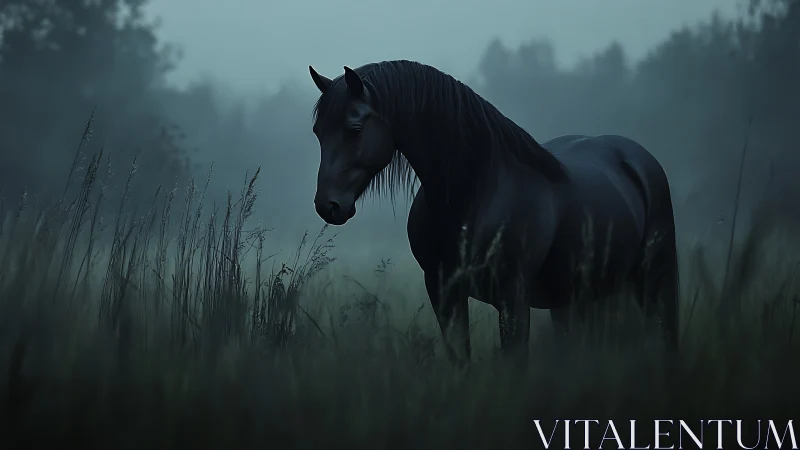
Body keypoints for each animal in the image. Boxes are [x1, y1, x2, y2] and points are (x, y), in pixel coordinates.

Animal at [307, 60, 679, 366]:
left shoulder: (513, 298)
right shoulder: (444, 293)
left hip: (656, 281)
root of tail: (637, 158)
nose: (328, 205)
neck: (474, 193)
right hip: (577, 299)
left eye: (355, 129)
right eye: (318, 132)